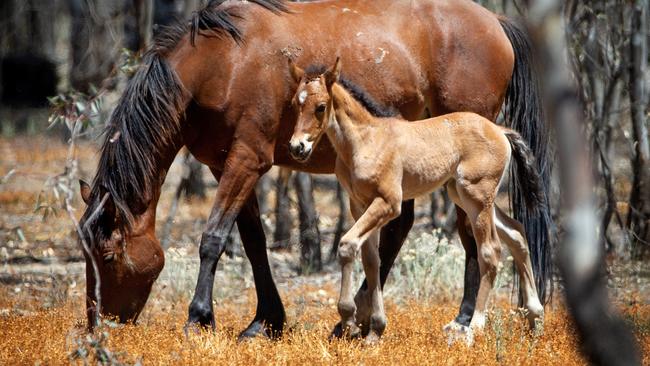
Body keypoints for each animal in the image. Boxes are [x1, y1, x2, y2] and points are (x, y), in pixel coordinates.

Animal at [288, 57, 540, 344]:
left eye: (321, 106)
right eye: (295, 103)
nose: (297, 147)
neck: (365, 141)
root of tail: (499, 129)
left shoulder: (388, 204)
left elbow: (347, 245)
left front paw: (349, 319)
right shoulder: (359, 206)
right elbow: (372, 260)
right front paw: (375, 329)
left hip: (477, 196)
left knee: (491, 250)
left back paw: (474, 327)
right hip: (464, 196)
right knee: (517, 234)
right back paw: (535, 317)